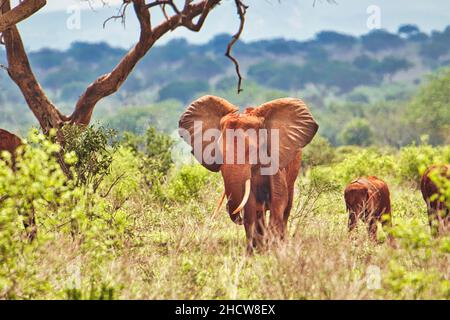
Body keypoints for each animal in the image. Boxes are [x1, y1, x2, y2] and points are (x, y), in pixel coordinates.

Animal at [178, 94, 318, 254]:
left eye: (252, 150)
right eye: (218, 151)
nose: (235, 214)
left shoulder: (275, 163)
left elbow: (278, 200)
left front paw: (273, 249)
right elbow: (250, 206)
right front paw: (253, 252)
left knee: (286, 207)